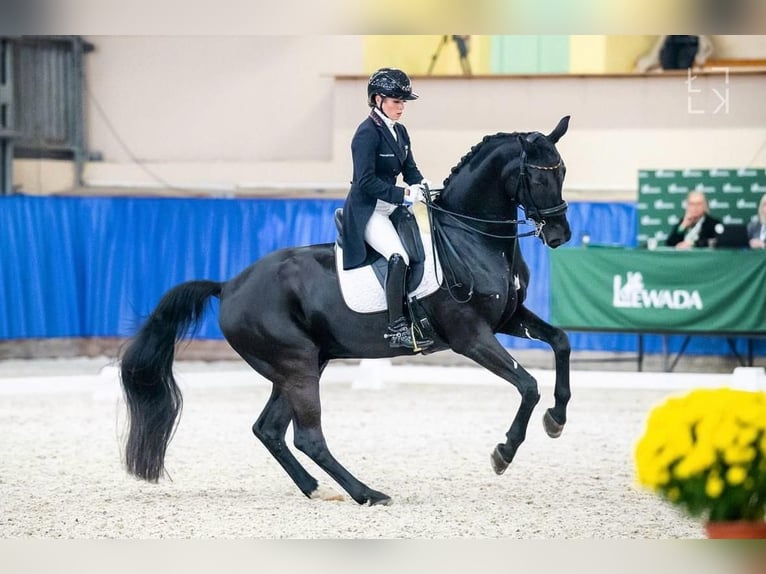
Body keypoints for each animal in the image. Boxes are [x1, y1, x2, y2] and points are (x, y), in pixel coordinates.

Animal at [120, 115, 572, 506]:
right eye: (536, 176)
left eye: (562, 170)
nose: (559, 235)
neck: (469, 237)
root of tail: (229, 285)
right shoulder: (470, 336)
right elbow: (528, 385)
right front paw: (503, 453)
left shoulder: (509, 318)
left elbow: (561, 342)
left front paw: (557, 418)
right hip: (297, 364)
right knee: (308, 437)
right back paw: (367, 493)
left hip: (300, 364)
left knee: (269, 429)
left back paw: (318, 490)